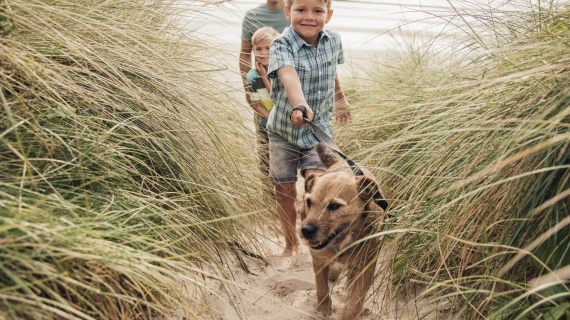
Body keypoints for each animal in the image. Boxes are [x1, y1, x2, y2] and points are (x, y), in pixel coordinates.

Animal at [300, 143, 384, 320]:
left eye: (334, 206)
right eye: (309, 202)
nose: (305, 230)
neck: (341, 240)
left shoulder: (366, 267)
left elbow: (355, 301)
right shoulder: (318, 260)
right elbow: (321, 287)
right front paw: (324, 308)